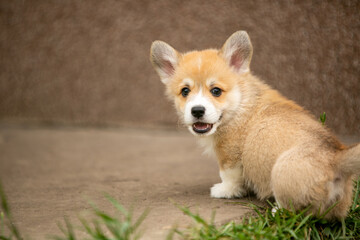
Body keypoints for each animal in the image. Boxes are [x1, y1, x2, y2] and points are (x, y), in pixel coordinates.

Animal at [149, 30, 360, 219]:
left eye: (216, 91)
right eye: (185, 91)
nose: (197, 110)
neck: (241, 102)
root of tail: (336, 157)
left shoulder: (230, 155)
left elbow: (228, 176)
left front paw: (224, 191)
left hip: (281, 172)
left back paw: (278, 211)